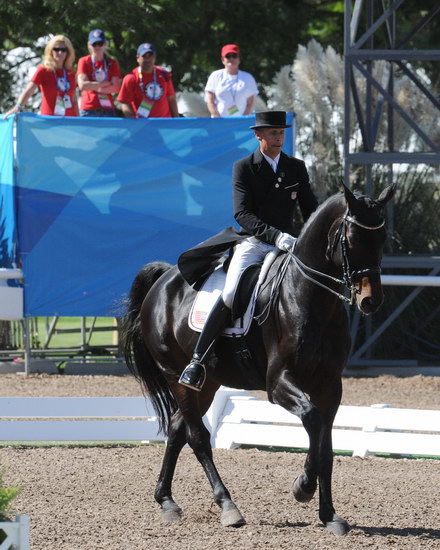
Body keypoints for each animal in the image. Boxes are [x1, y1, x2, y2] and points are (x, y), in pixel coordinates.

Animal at [121, 183, 396, 536]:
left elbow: (325, 444)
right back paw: (228, 506)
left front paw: (330, 515)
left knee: (178, 428)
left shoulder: (330, 385)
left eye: (383, 239)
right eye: (351, 239)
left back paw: (167, 501)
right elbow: (312, 419)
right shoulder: (278, 383)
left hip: (207, 383)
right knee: (197, 437)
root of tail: (164, 277)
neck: (310, 298)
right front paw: (303, 487)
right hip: (175, 373)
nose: (370, 301)